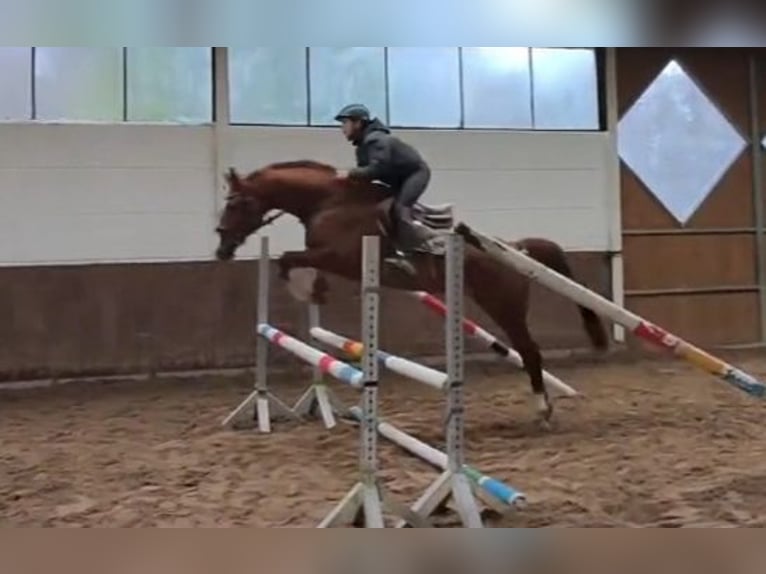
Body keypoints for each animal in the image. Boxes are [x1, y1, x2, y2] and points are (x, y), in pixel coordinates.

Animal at [213, 160, 608, 426]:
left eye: (236, 203)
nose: (221, 248)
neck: (327, 202)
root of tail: (516, 247)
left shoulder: (337, 256)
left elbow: (289, 259)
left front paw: (308, 289)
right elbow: (289, 260)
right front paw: (313, 290)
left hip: (504, 305)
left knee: (529, 351)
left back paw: (543, 410)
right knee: (526, 352)